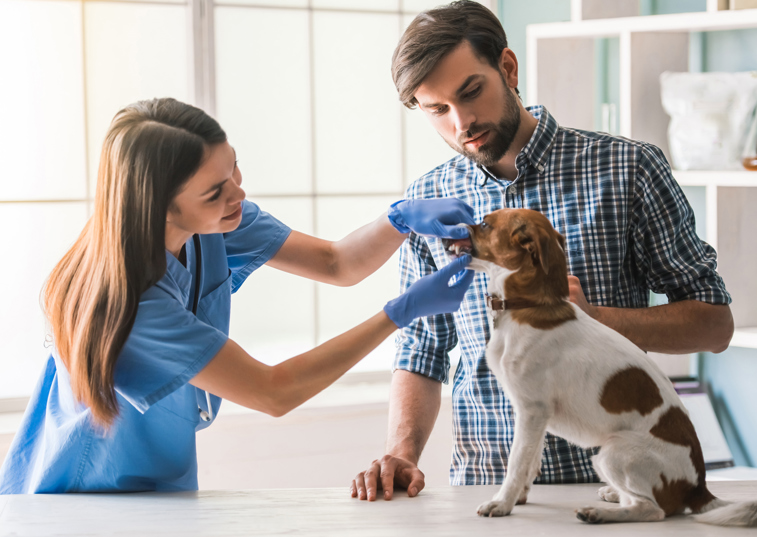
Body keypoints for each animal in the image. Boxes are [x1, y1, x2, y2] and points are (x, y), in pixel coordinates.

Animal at [442, 208, 756, 524]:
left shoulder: (532, 410)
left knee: (652, 510)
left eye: (484, 223)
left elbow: (517, 463)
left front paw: (502, 502)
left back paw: (599, 513)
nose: (443, 234)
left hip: (612, 452)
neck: (527, 306)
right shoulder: (537, 418)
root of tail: (697, 487)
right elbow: (531, 461)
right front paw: (518, 496)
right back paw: (613, 495)